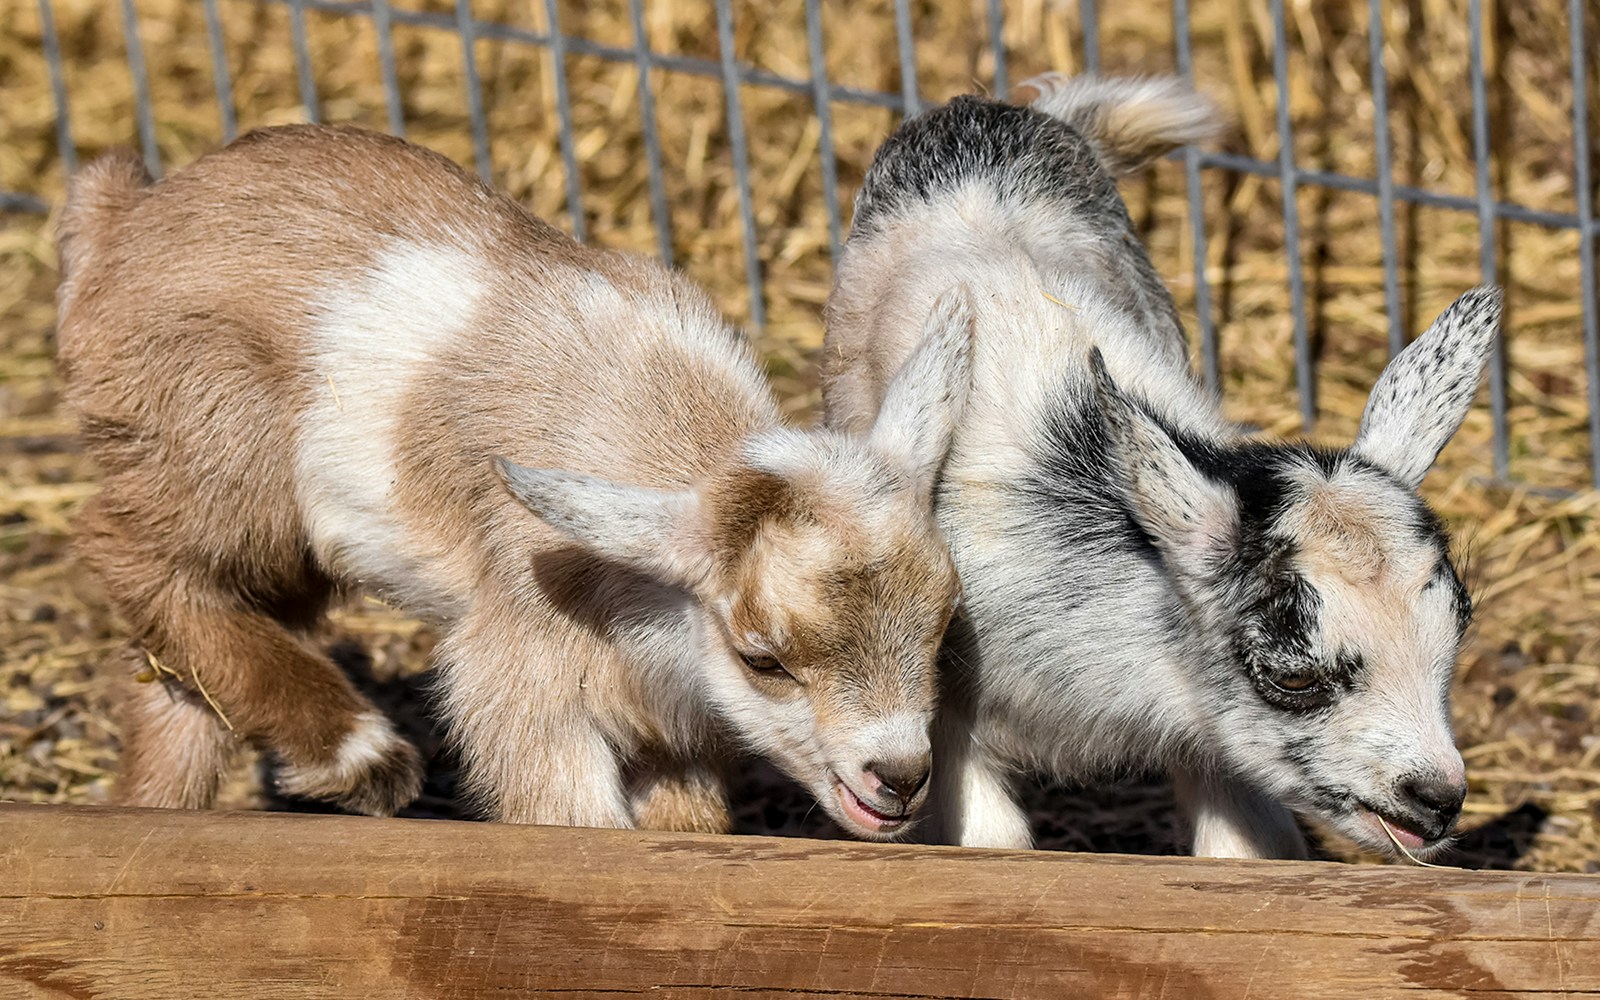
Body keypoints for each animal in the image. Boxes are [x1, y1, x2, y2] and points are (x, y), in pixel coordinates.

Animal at [56, 124, 971, 837]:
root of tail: (121, 219)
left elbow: (690, 826)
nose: (897, 779)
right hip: (218, 444)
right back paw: (359, 755)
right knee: (121, 548)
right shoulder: (524, 670)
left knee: (177, 661)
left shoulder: (667, 727)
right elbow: (569, 817)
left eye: (941, 630)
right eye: (764, 660)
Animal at [821, 73, 1500, 859]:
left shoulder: (1216, 739)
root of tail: (984, 111)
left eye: (1456, 628)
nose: (1438, 799)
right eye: (1293, 678)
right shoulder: (947, 710)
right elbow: (995, 844)